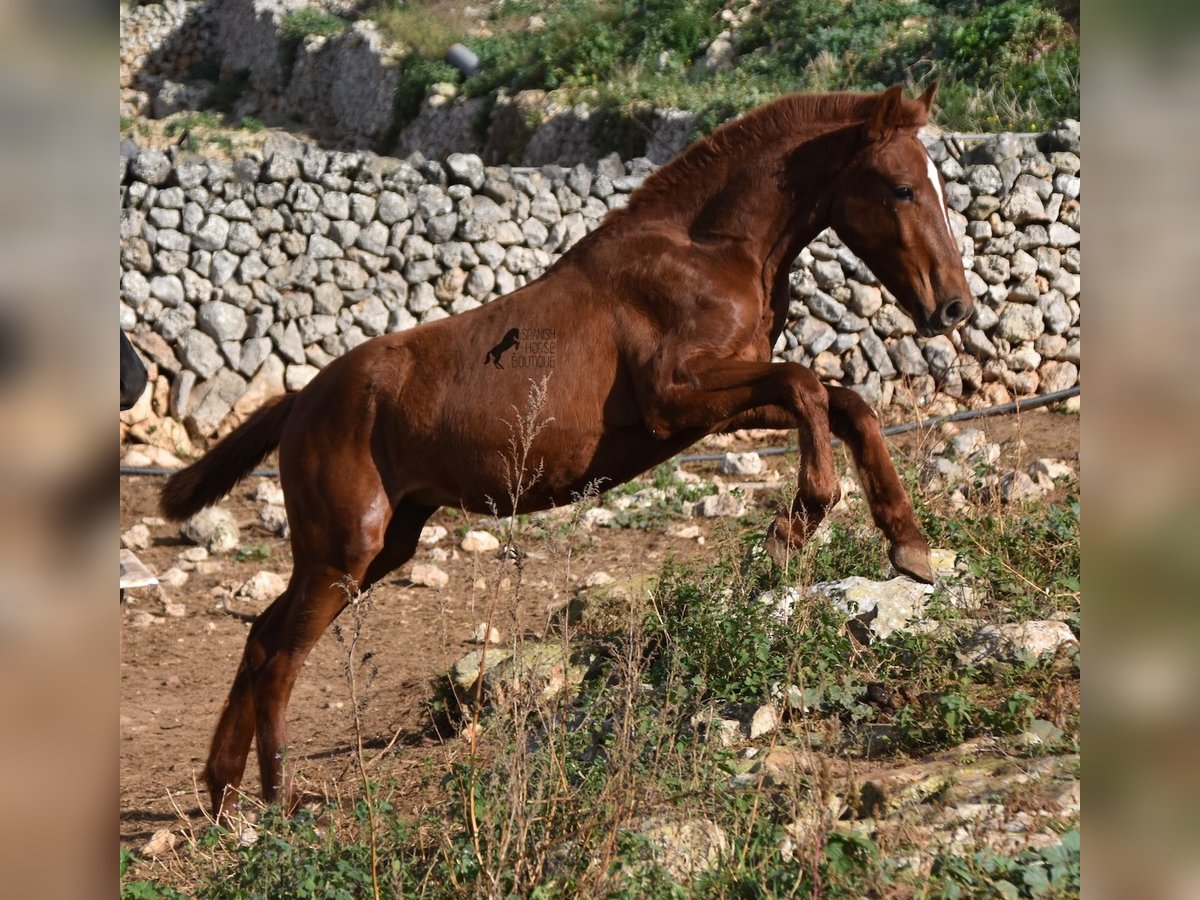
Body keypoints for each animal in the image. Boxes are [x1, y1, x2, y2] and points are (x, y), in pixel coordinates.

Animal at [162, 84, 964, 816]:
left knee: (262, 637)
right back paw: (277, 801)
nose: (953, 307)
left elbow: (844, 403)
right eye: (901, 187)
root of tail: (301, 401)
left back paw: (222, 793)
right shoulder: (679, 396)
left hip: (382, 545)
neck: (706, 253)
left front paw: (910, 547)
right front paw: (796, 524)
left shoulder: (713, 409)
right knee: (277, 657)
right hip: (344, 548)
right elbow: (805, 385)